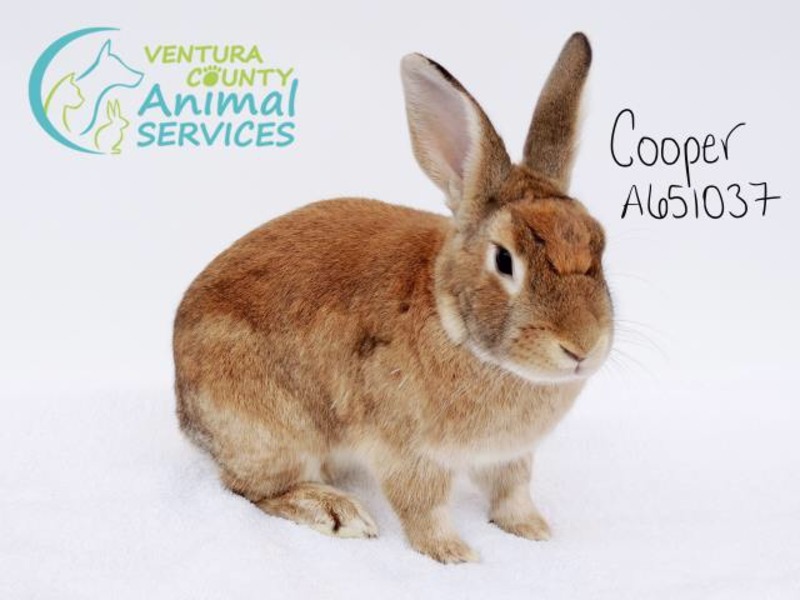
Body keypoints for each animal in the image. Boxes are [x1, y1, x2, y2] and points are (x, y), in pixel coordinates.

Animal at [173, 32, 612, 564]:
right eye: (504, 260)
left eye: (599, 242)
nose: (582, 346)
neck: (454, 324)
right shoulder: (406, 451)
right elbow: (422, 506)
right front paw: (454, 554)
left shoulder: (508, 457)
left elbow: (512, 491)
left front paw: (533, 530)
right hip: (271, 430)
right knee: (252, 489)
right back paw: (338, 512)